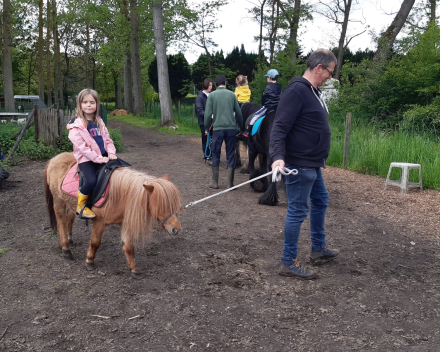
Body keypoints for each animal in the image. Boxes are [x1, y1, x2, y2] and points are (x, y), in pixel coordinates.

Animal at [43, 153, 181, 276]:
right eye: (161, 205)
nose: (176, 229)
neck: (120, 194)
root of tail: (54, 159)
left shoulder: (125, 223)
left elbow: (129, 246)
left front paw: (134, 269)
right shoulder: (99, 222)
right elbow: (95, 243)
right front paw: (90, 261)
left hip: (72, 203)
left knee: (69, 218)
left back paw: (70, 239)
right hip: (59, 201)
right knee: (61, 222)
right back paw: (66, 249)